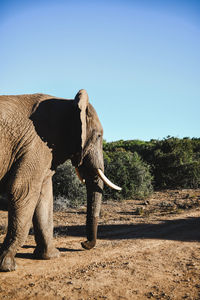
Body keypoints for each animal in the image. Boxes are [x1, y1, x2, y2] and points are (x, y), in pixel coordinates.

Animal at [0, 89, 120, 272]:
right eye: (99, 136)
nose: (83, 243)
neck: (68, 104)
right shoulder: (35, 145)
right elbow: (22, 190)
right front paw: (7, 266)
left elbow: (45, 197)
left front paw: (51, 256)